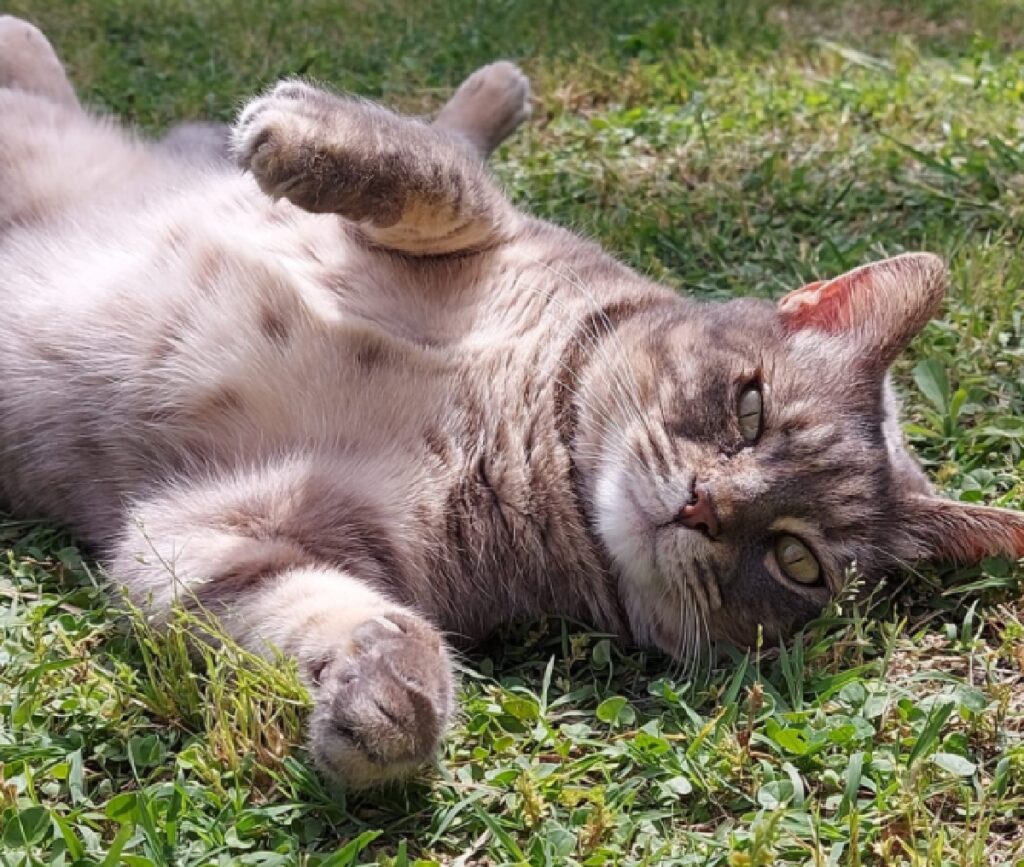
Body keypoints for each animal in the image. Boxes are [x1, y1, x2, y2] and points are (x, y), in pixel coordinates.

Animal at [2, 15, 1024, 786]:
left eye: (798, 561)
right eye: (749, 409)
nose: (702, 506)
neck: (517, 420)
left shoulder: (193, 537)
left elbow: (319, 609)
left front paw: (389, 695)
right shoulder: (486, 231)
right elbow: (443, 179)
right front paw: (305, 135)